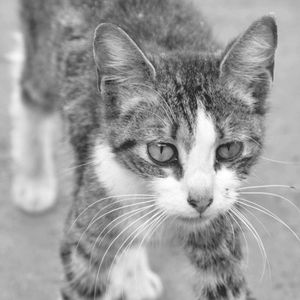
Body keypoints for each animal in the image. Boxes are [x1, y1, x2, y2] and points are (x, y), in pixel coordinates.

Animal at [12, 0, 278, 298]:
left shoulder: (221, 224)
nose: (201, 201)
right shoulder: (91, 218)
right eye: (161, 151)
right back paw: (34, 181)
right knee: (31, 89)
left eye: (229, 149)